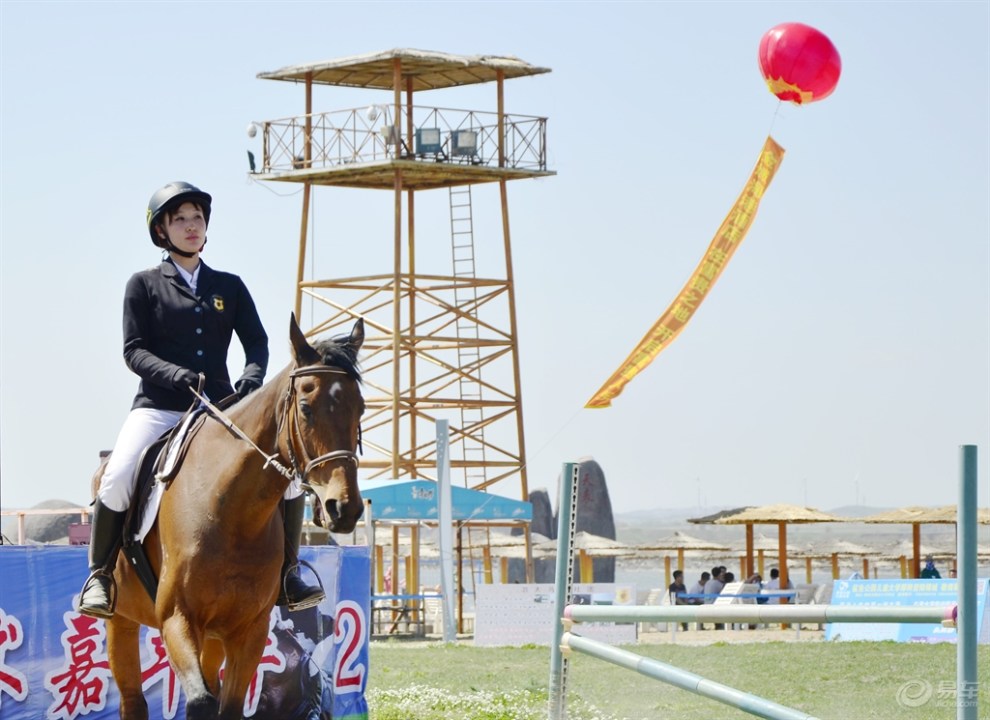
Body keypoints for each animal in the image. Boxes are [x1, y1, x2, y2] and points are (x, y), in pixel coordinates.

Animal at [100, 316, 368, 720]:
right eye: (306, 408)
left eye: (361, 409)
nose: (344, 508)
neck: (231, 514)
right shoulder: (176, 618)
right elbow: (201, 701)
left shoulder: (250, 630)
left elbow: (226, 705)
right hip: (122, 620)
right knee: (133, 700)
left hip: (212, 635)